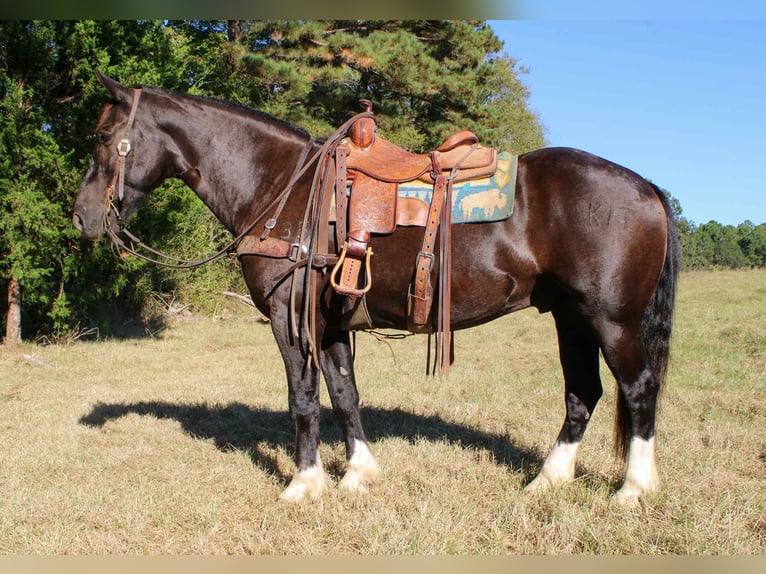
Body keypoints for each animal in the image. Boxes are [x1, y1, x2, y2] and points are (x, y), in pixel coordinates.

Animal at [73, 74, 680, 507]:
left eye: (103, 137)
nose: (81, 217)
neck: (280, 186)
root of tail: (646, 186)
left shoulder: (291, 320)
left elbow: (302, 399)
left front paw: (303, 484)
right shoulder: (332, 324)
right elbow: (344, 394)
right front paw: (358, 473)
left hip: (612, 320)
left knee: (638, 389)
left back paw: (632, 489)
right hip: (570, 318)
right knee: (583, 394)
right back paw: (547, 480)